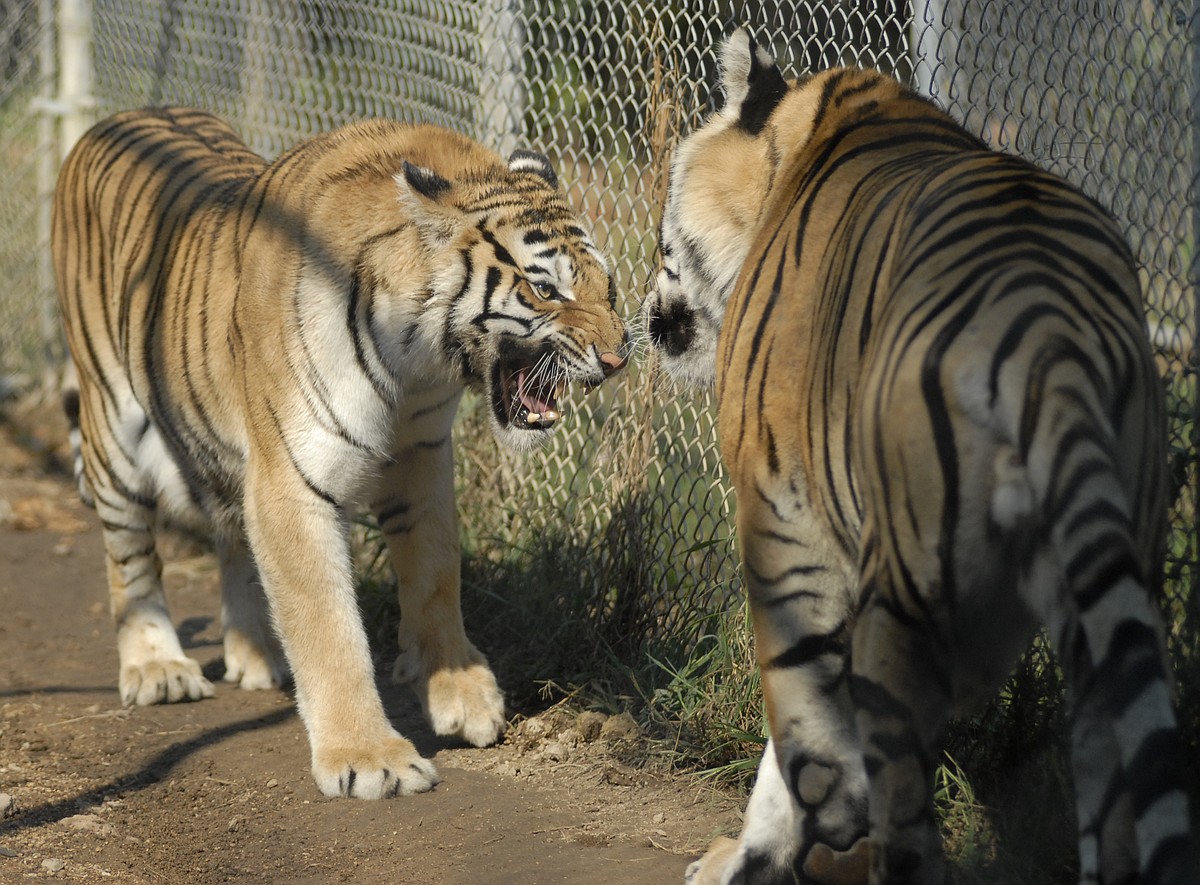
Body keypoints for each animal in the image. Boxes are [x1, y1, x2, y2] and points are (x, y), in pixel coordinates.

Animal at [52, 106, 628, 799]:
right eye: (546, 291)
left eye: (609, 288)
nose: (620, 359)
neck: (419, 365)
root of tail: (111, 121)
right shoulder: (293, 480)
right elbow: (328, 625)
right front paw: (369, 757)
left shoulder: (422, 453)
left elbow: (437, 576)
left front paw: (463, 695)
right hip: (114, 428)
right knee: (131, 556)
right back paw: (157, 667)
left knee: (231, 536)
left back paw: (257, 655)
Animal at [645, 29, 1195, 885]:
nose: (646, 309)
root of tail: (1051, 337)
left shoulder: (782, 517)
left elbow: (796, 703)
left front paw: (769, 844)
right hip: (1100, 586)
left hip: (905, 594)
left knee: (906, 809)